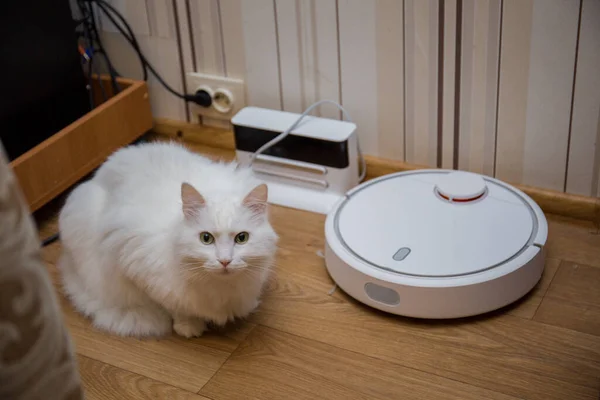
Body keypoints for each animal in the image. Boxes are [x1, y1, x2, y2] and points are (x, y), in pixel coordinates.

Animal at [57, 141, 278, 338]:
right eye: (206, 238)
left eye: (242, 238)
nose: (225, 261)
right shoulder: (134, 262)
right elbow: (173, 306)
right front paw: (188, 326)